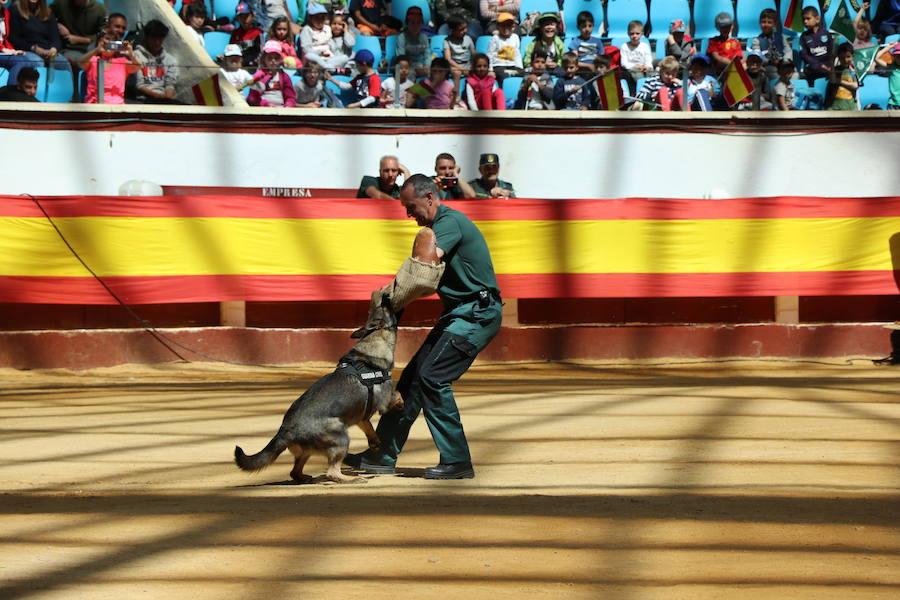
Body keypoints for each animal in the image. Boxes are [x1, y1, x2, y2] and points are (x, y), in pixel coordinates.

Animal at [234, 292, 400, 486]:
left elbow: (369, 428)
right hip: (341, 438)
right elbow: (398, 395)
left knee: (295, 472)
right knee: (332, 472)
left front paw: (374, 442)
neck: (373, 341)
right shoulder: (384, 402)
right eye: (385, 306)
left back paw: (306, 478)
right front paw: (401, 405)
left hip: (307, 452)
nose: (386, 294)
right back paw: (351, 479)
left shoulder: (362, 417)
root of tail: (286, 431)